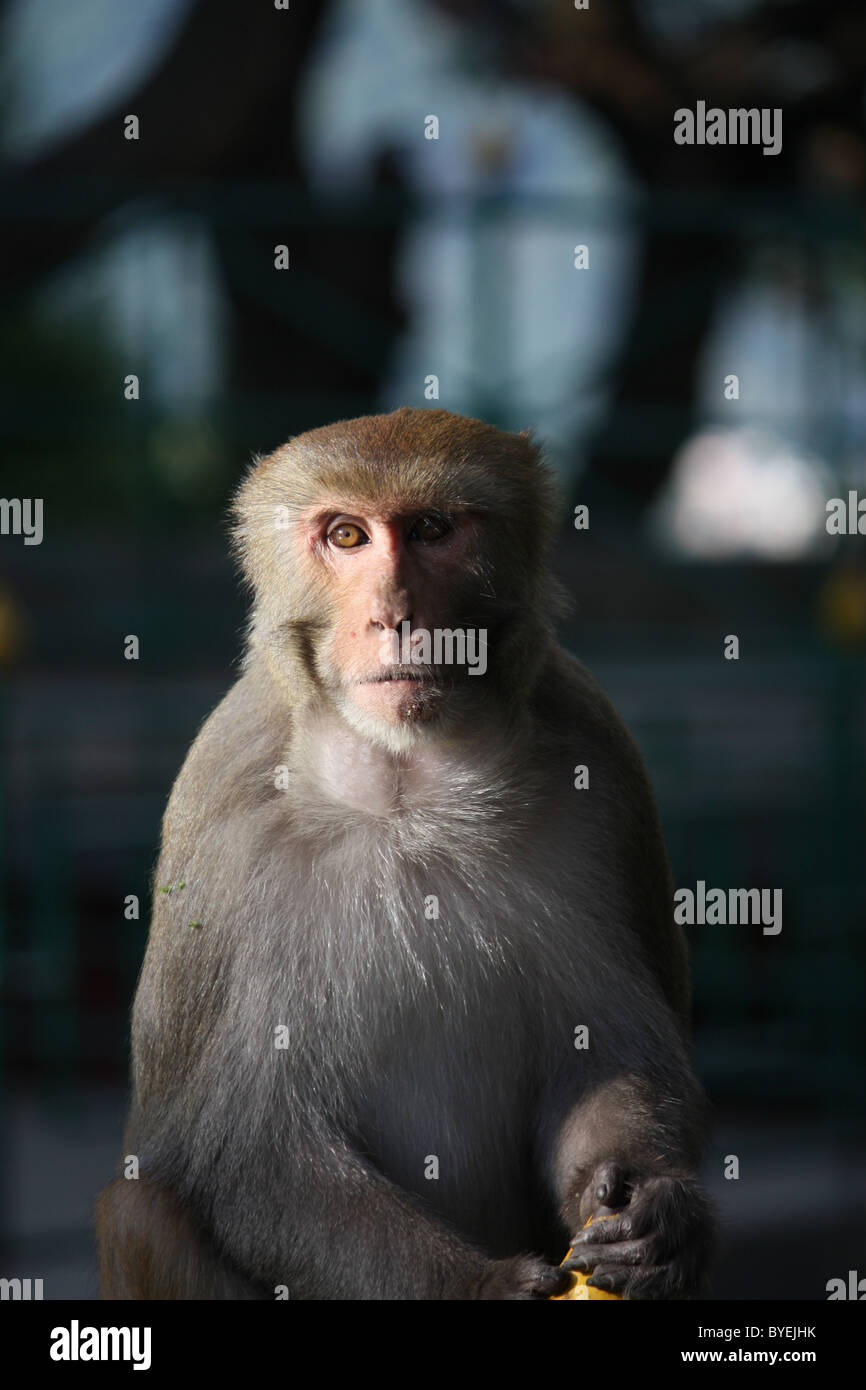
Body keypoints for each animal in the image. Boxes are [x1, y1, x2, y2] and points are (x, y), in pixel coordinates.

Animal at [96, 406, 714, 1300]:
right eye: (347, 535)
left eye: (429, 530)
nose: (394, 615)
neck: (403, 781)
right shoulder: (224, 803)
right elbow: (248, 1148)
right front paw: (484, 1288)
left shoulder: (599, 761)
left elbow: (608, 1049)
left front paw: (655, 1213)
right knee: (139, 1208)